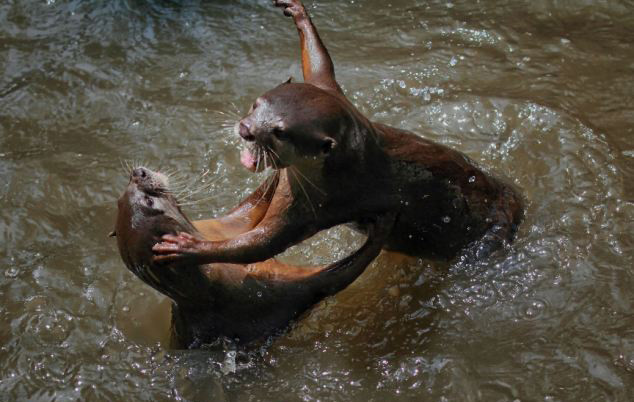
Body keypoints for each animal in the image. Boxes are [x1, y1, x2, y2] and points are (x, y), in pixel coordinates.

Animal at [112, 166, 390, 348]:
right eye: (148, 201)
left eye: (119, 198)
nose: (138, 172)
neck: (211, 277)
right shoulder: (264, 293)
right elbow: (331, 279)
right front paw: (379, 233)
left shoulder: (223, 227)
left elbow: (254, 206)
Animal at [151, 0, 520, 266]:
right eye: (256, 104)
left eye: (281, 132)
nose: (246, 129)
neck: (343, 165)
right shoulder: (332, 92)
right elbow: (319, 64)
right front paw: (298, 13)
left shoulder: (317, 204)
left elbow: (263, 243)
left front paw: (189, 249)